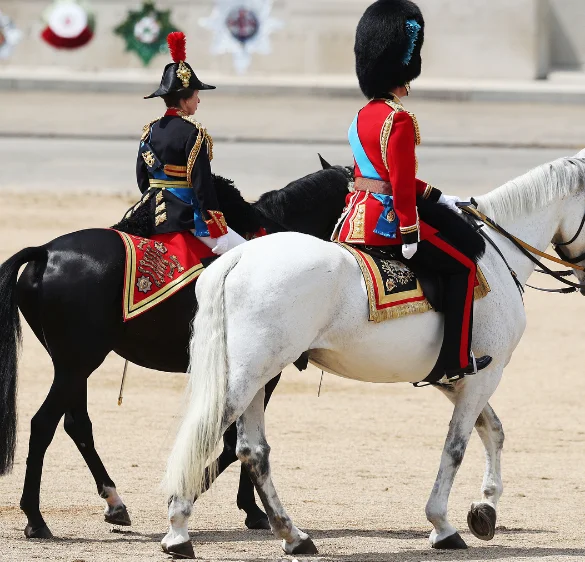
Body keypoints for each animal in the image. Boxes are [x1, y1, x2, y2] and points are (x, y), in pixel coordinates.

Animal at [0, 162, 350, 540]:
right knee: (43, 425)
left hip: (72, 364)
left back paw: (114, 503)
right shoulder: (264, 373)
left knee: (77, 425)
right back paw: (35, 517)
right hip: (78, 362)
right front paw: (246, 509)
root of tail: (46, 252)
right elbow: (234, 445)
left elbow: (234, 444)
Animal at [162, 152, 584, 556]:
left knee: (252, 451)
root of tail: (238, 258)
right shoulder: (483, 376)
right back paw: (179, 532)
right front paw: (443, 525)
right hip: (248, 376)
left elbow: (492, 431)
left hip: (258, 375)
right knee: (208, 434)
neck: (498, 257)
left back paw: (292, 534)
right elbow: (457, 446)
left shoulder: (458, 378)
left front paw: (485, 509)